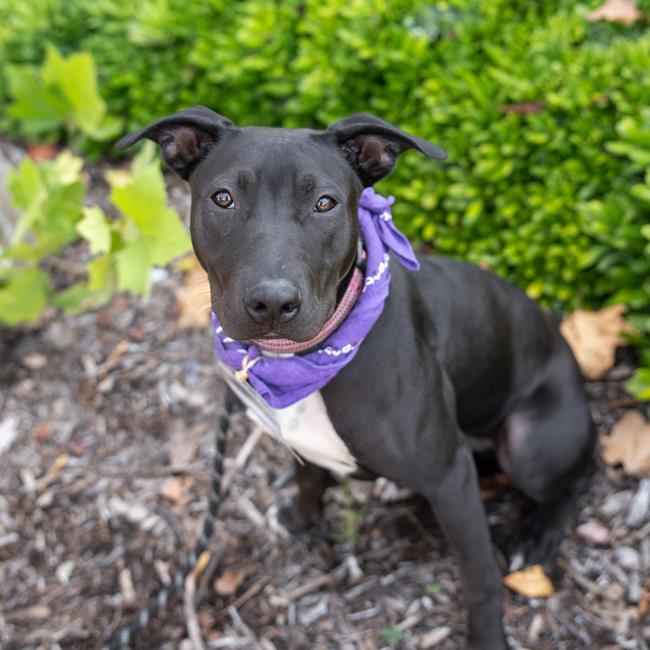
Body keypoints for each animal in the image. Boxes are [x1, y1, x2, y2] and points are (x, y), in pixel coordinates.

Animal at [116, 107, 592, 648]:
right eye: (223, 198)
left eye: (324, 203)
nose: (273, 303)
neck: (301, 359)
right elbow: (308, 480)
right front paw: (300, 520)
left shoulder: (450, 477)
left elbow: (479, 579)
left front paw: (488, 638)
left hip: (530, 445)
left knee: (576, 476)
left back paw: (538, 535)